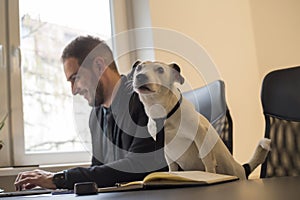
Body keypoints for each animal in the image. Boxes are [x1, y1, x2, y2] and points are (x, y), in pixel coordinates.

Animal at [132, 59, 272, 180]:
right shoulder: (166, 150)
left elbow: (207, 160)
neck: (163, 114)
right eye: (139, 68)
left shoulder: (200, 133)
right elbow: (172, 166)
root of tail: (242, 168)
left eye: (160, 69)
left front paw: (210, 174)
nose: (140, 76)